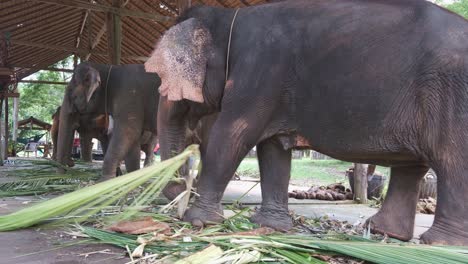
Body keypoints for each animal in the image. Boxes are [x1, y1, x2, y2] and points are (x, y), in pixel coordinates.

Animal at [148, 1, 468, 246]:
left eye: (163, 77)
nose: (180, 191)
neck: (229, 20)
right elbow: (273, 150)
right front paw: (271, 226)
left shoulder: (260, 72)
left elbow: (232, 137)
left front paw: (198, 222)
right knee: (411, 168)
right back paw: (382, 232)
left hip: (452, 99)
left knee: (452, 164)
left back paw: (440, 243)